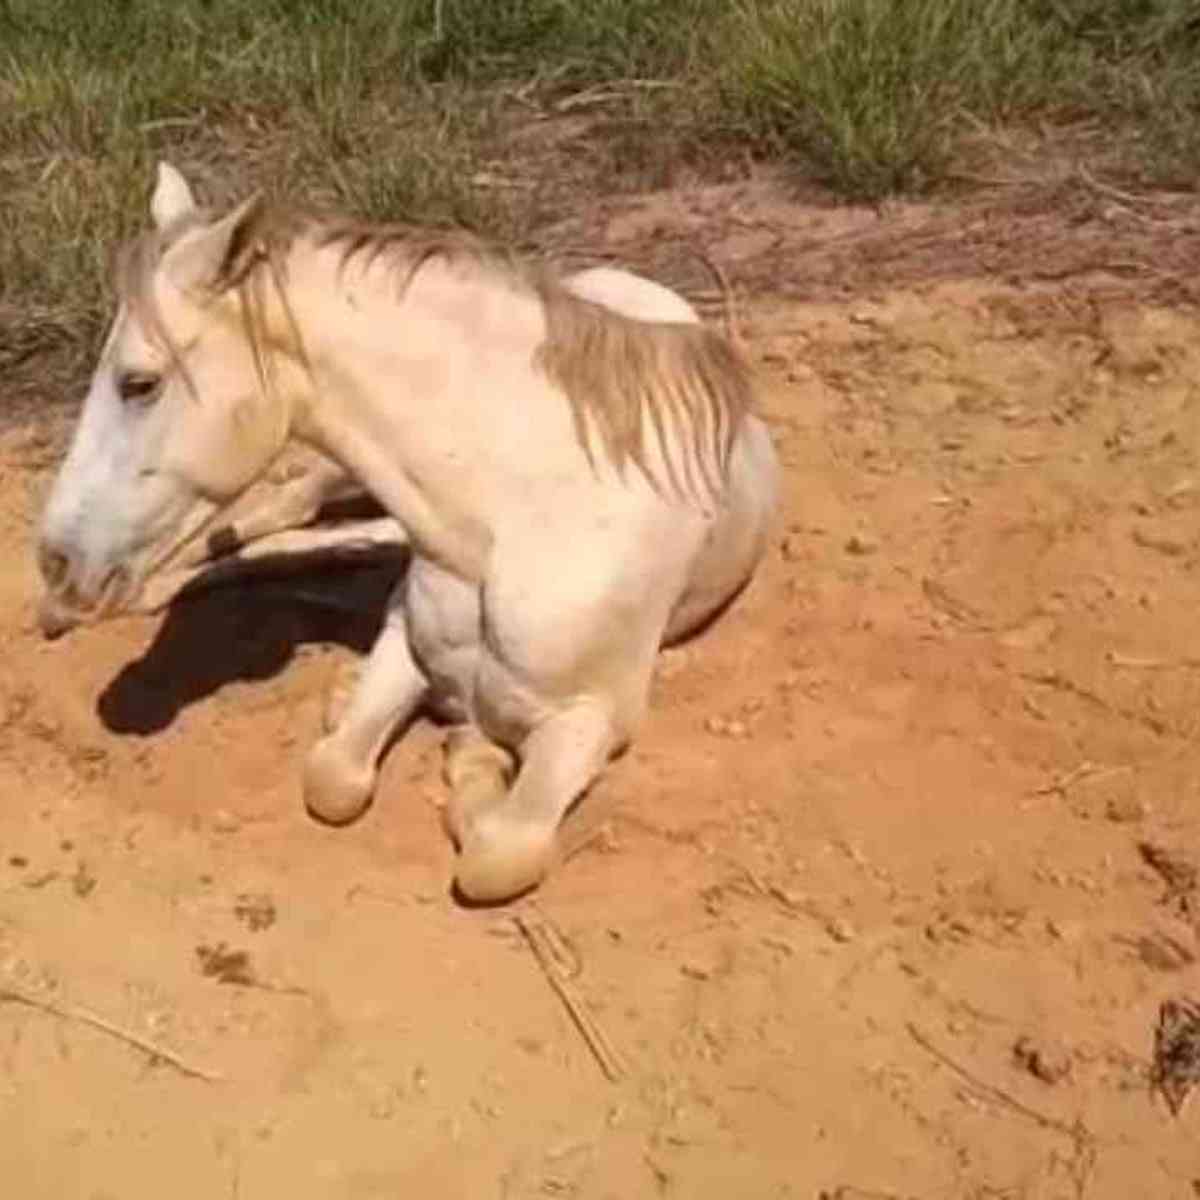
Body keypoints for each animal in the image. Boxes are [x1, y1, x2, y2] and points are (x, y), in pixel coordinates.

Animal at [35, 164, 777, 902]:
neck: (512, 520)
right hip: (336, 472)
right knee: (284, 511)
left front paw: (467, 757)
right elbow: (333, 777)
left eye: (139, 383)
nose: (55, 561)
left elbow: (495, 854)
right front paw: (428, 738)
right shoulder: (403, 644)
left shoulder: (590, 720)